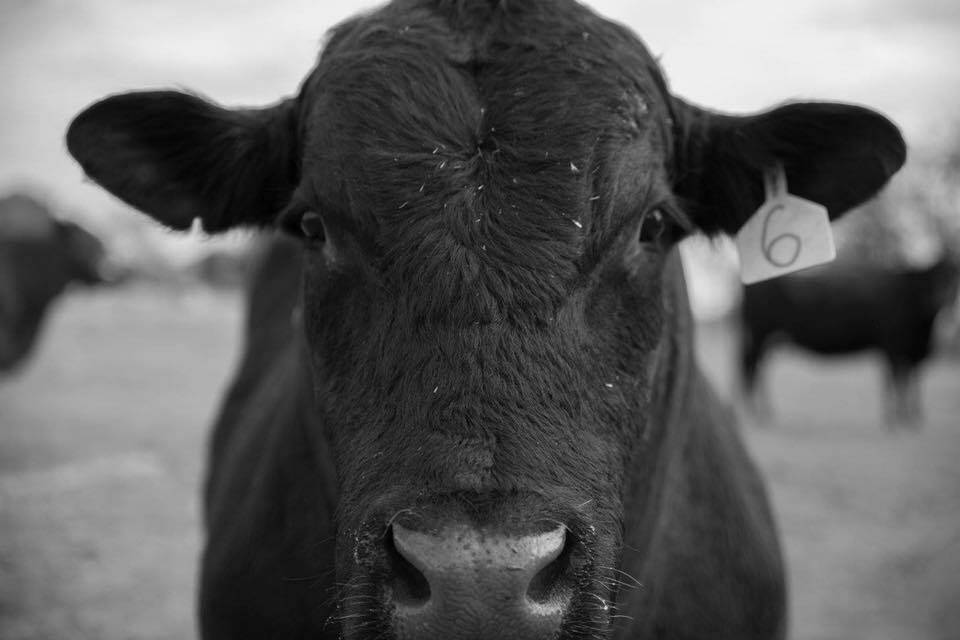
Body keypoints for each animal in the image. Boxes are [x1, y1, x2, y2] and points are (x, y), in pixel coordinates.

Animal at [740, 252, 956, 428]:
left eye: (954, 277)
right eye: (934, 278)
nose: (941, 298)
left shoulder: (908, 351)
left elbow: (910, 380)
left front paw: (913, 416)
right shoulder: (893, 346)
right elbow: (897, 381)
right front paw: (897, 418)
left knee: (756, 368)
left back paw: (761, 412)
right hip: (760, 334)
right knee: (751, 367)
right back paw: (756, 413)